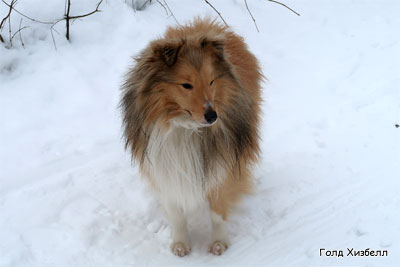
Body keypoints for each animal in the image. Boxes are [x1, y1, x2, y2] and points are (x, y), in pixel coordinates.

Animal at [121, 17, 262, 256]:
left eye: (212, 81)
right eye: (186, 85)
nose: (213, 116)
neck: (183, 126)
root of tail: (201, 24)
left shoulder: (221, 165)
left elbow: (217, 210)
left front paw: (218, 243)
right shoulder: (165, 168)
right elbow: (176, 212)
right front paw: (180, 244)